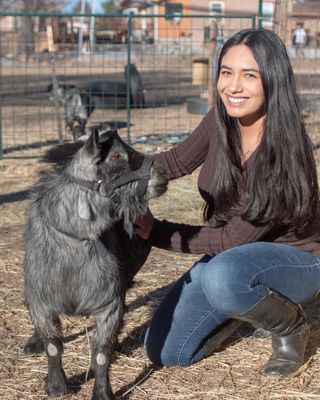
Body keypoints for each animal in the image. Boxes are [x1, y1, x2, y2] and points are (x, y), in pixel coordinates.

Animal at [23, 127, 168, 400]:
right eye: (115, 156)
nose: (163, 174)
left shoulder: (109, 303)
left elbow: (101, 352)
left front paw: (102, 392)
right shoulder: (41, 302)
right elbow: (53, 346)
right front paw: (56, 386)